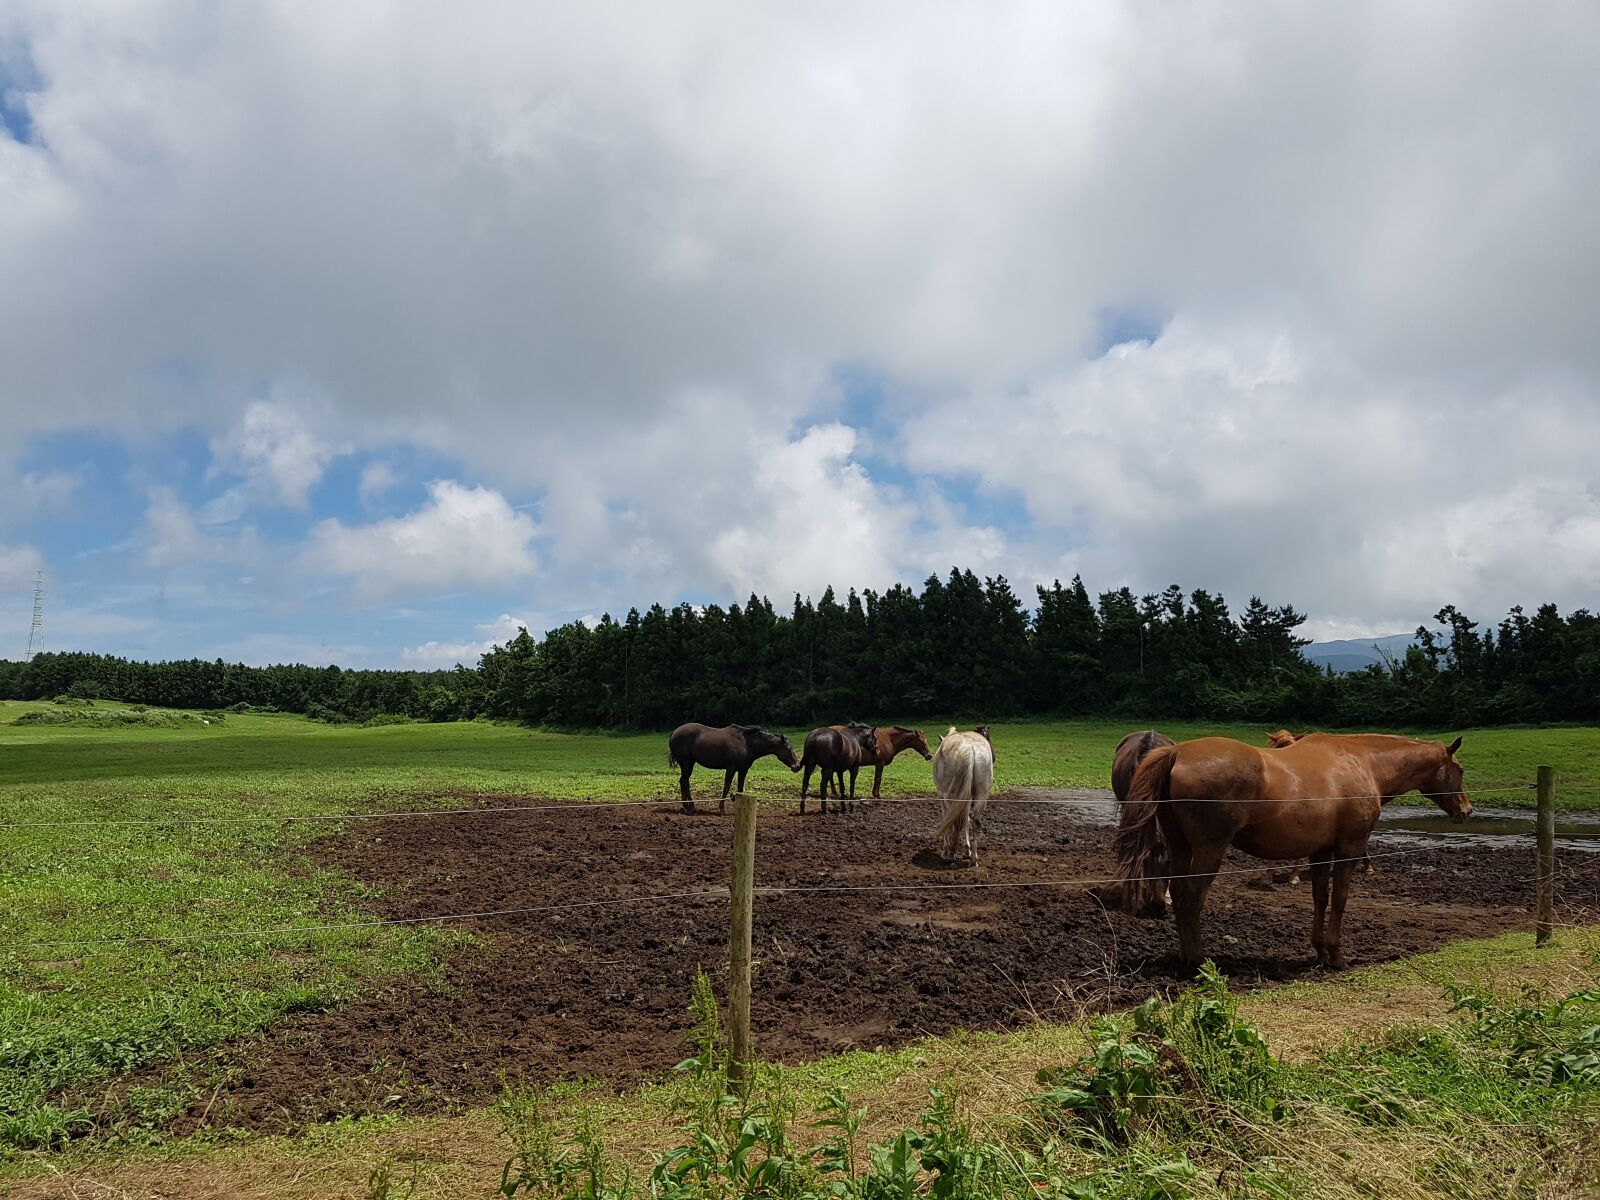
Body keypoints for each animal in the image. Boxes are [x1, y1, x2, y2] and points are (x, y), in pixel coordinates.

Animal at [667, 723, 799, 814]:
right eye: (788, 748)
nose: (797, 766)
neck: (747, 743)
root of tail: (674, 732)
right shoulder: (731, 768)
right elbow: (726, 787)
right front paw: (722, 808)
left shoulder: (743, 769)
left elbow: (740, 788)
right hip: (686, 763)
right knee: (685, 781)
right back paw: (690, 807)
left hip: (690, 763)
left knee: (683, 781)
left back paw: (688, 806)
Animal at [933, 727, 995, 863]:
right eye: (989, 738)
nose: (994, 757)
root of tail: (971, 750)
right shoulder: (968, 797)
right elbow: (966, 819)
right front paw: (967, 850)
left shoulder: (941, 795)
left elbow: (947, 819)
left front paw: (945, 850)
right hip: (982, 794)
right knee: (975, 822)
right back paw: (974, 858)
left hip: (951, 795)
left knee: (955, 822)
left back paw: (951, 854)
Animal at [1113, 733, 1469, 969]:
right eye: (1461, 770)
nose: (1466, 810)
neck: (1361, 763)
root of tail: (1177, 752)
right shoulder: (1349, 849)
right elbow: (1339, 900)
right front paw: (1337, 955)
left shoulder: (1320, 853)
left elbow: (1320, 898)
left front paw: (1320, 951)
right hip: (1208, 850)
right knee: (1190, 895)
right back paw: (1198, 960)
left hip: (1180, 846)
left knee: (1176, 890)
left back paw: (1186, 956)